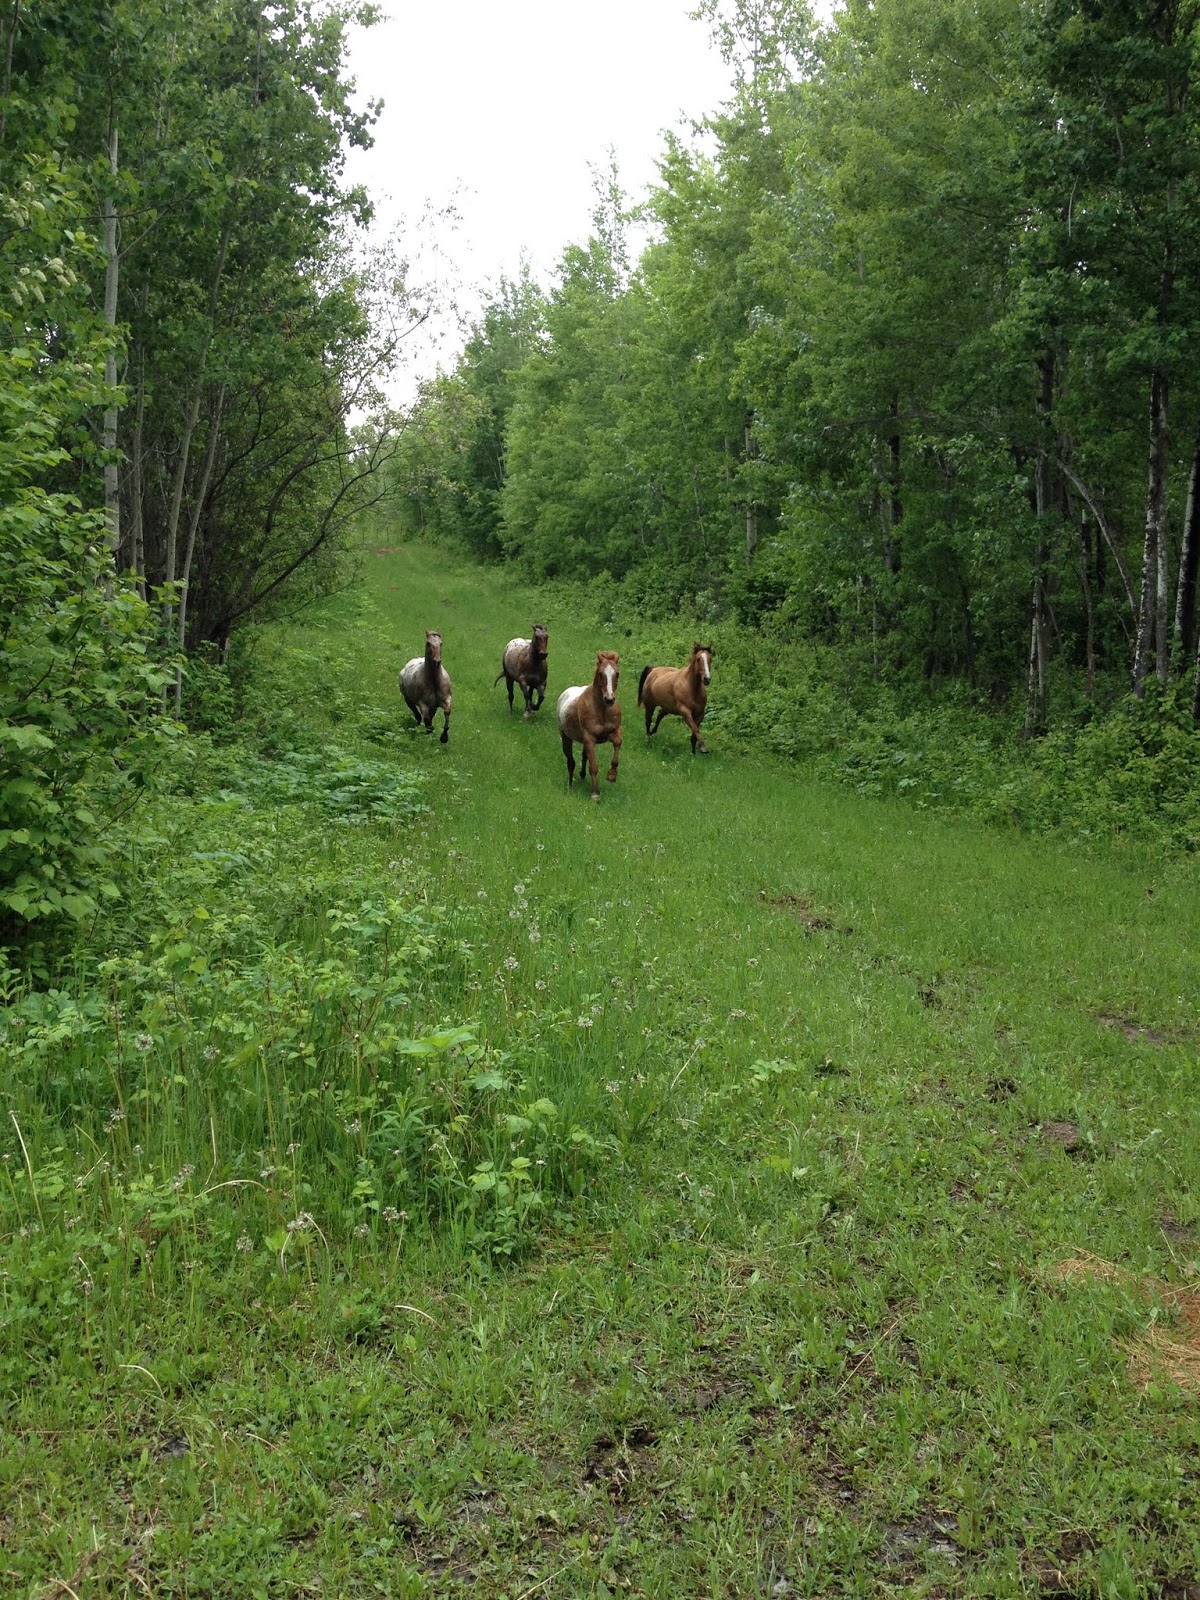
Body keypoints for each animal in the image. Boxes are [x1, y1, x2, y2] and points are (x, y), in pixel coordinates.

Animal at [556, 651, 622, 800]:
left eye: (617, 673)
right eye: (601, 673)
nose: (609, 699)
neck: (602, 710)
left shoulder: (614, 732)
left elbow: (617, 744)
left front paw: (611, 776)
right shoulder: (590, 738)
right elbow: (594, 767)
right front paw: (595, 794)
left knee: (583, 755)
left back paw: (582, 774)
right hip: (566, 737)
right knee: (571, 762)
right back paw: (570, 785)